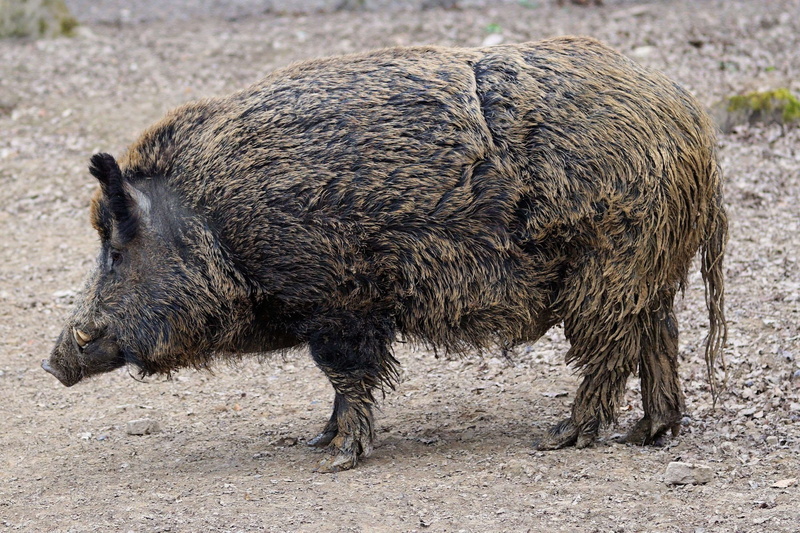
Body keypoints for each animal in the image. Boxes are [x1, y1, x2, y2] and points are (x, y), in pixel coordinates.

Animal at [44, 36, 727, 472]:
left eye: (115, 250)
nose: (52, 363)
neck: (216, 223)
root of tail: (691, 117)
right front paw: (314, 443)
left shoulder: (339, 302)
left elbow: (348, 376)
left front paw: (334, 461)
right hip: (645, 266)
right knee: (659, 334)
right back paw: (647, 434)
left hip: (610, 262)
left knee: (614, 347)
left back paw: (559, 438)